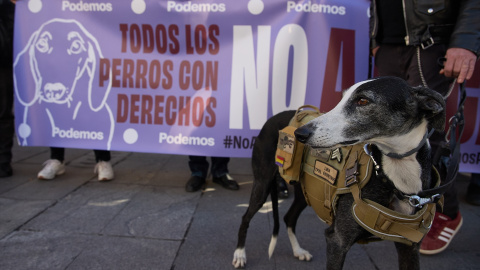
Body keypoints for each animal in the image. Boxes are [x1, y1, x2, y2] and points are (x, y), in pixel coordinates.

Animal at [232, 76, 446, 270]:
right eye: (342, 98)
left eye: (363, 100)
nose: (300, 134)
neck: (395, 179)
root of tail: (273, 118)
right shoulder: (337, 241)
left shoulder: (409, 247)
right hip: (262, 184)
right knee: (245, 218)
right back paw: (240, 254)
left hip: (305, 192)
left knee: (288, 218)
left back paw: (298, 251)